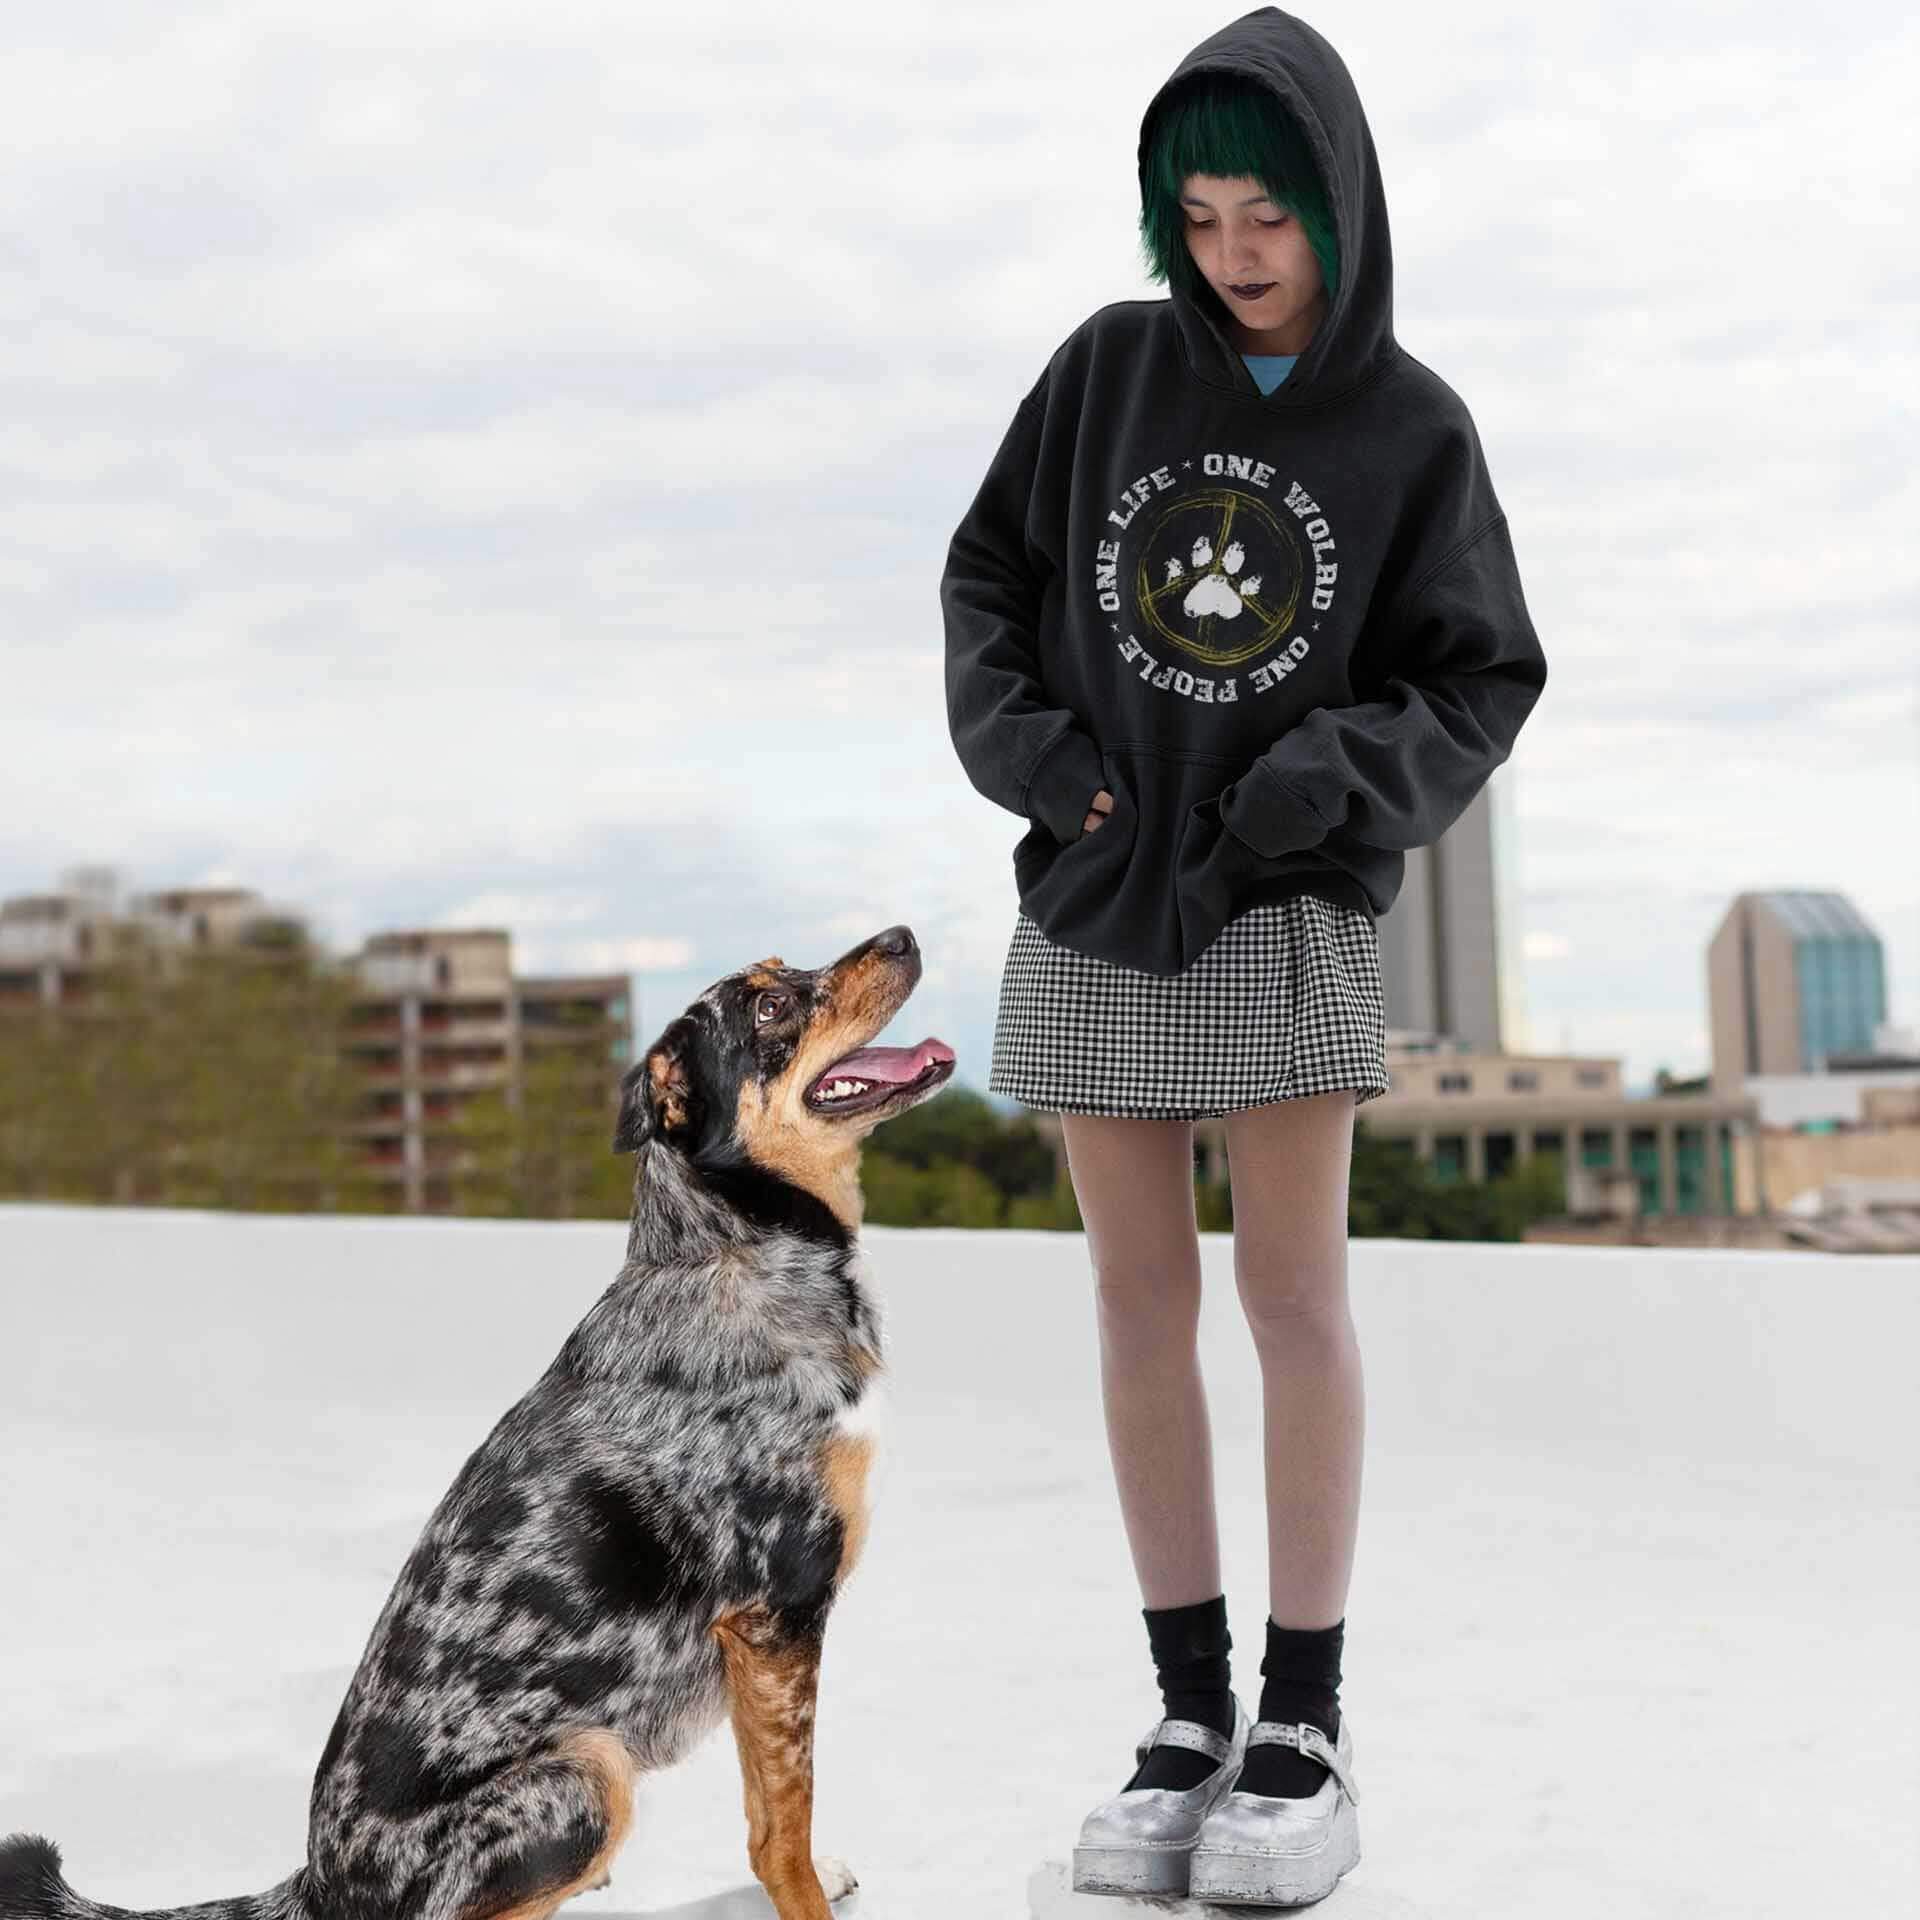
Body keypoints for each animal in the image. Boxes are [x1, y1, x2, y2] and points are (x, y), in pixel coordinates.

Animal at [0, 921, 960, 1912]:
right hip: (588, 1775)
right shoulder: (776, 1616)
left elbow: (769, 1809)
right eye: (770, 1006)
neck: (735, 1247)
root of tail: (319, 1883)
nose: (902, 935)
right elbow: (781, 1827)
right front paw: (805, 1890)